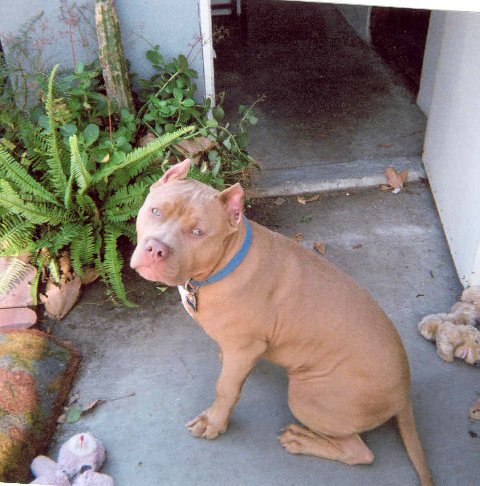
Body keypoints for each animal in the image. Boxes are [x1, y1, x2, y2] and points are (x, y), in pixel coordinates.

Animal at [129, 159, 434, 486]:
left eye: (198, 232)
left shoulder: (244, 348)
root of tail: (404, 393)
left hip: (306, 397)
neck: (223, 263)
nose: (155, 248)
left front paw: (214, 421)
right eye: (155, 211)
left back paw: (303, 441)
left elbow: (226, 387)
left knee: (359, 452)